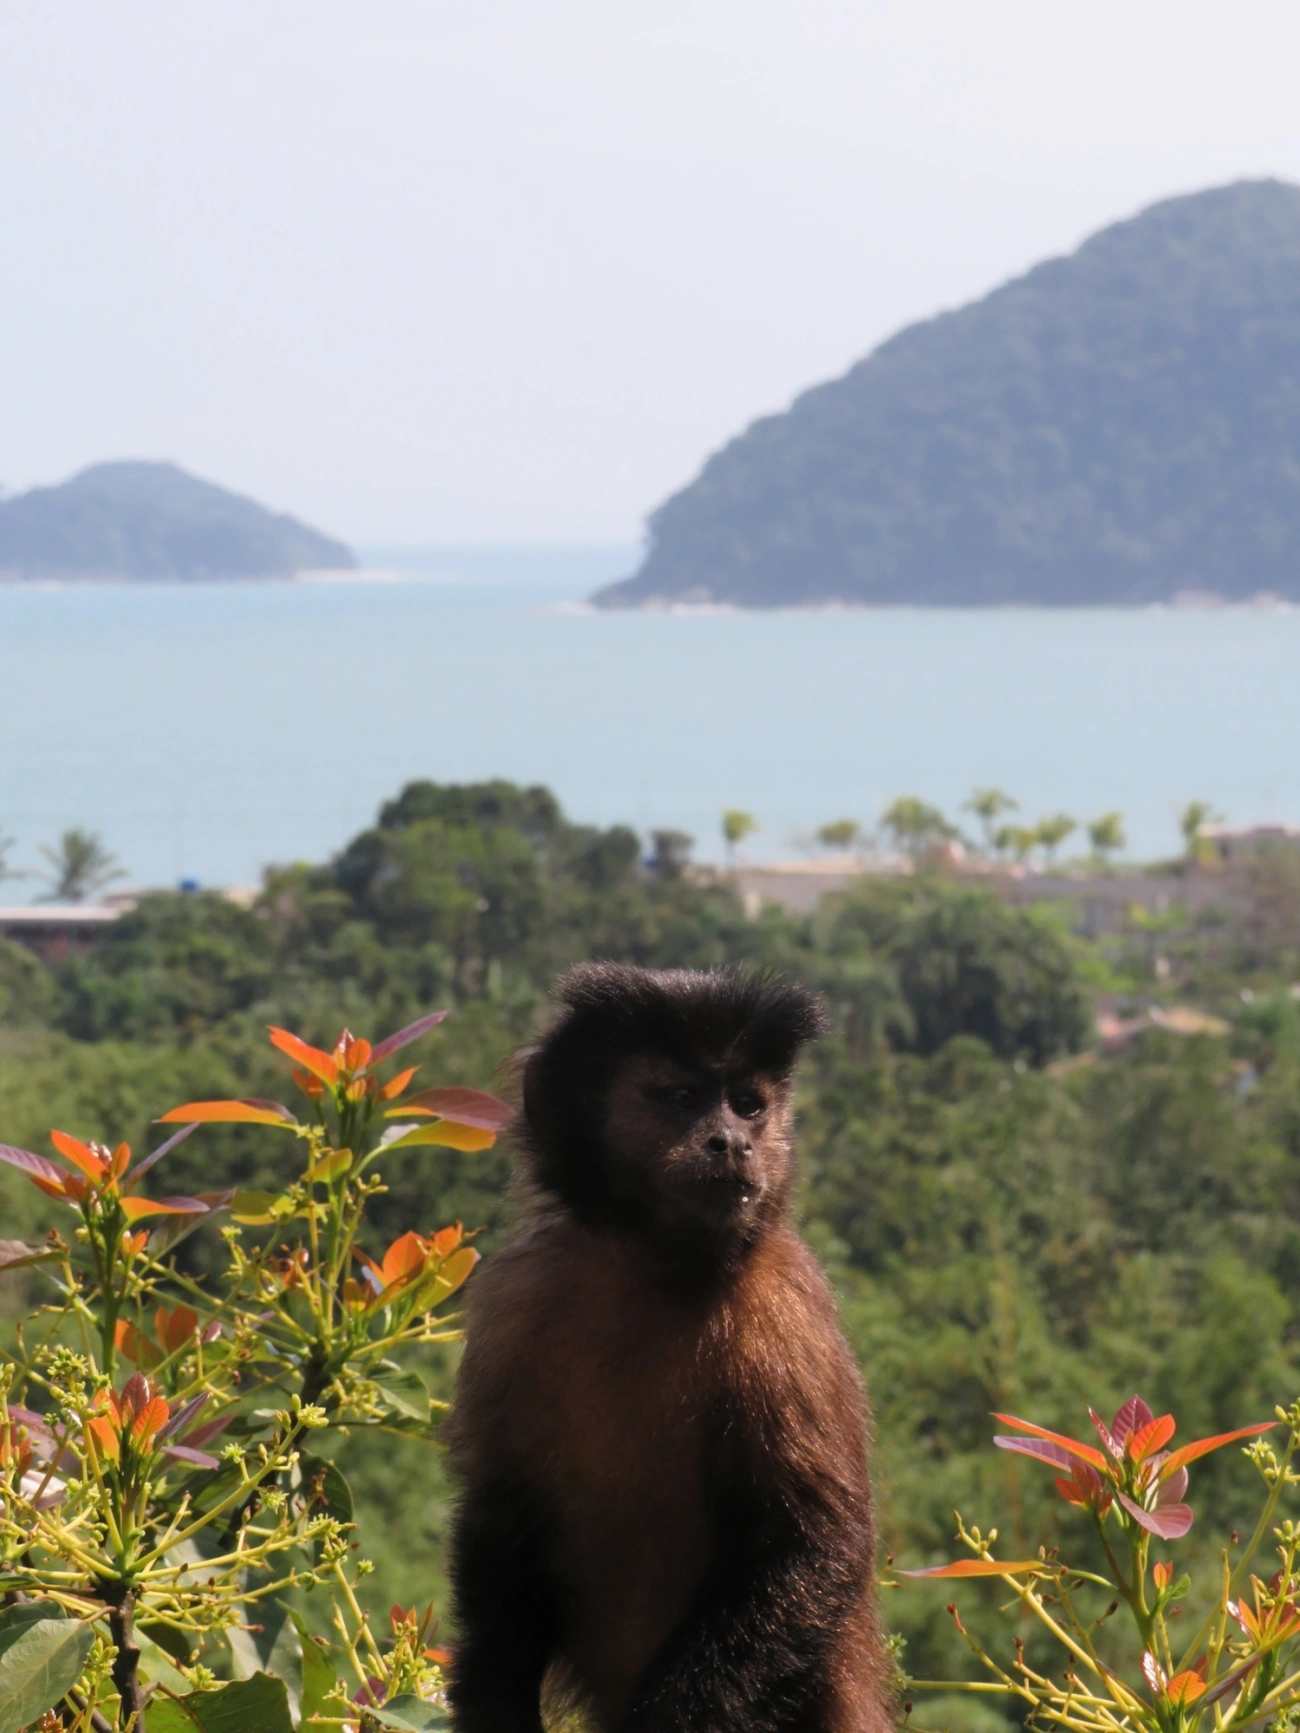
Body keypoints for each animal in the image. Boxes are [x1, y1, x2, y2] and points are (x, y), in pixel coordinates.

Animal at [446, 963, 894, 1733]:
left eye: (747, 1105)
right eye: (685, 1098)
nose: (733, 1143)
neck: (655, 1267)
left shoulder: (787, 1309)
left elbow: (814, 1544)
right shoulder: (518, 1295)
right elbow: (501, 1508)